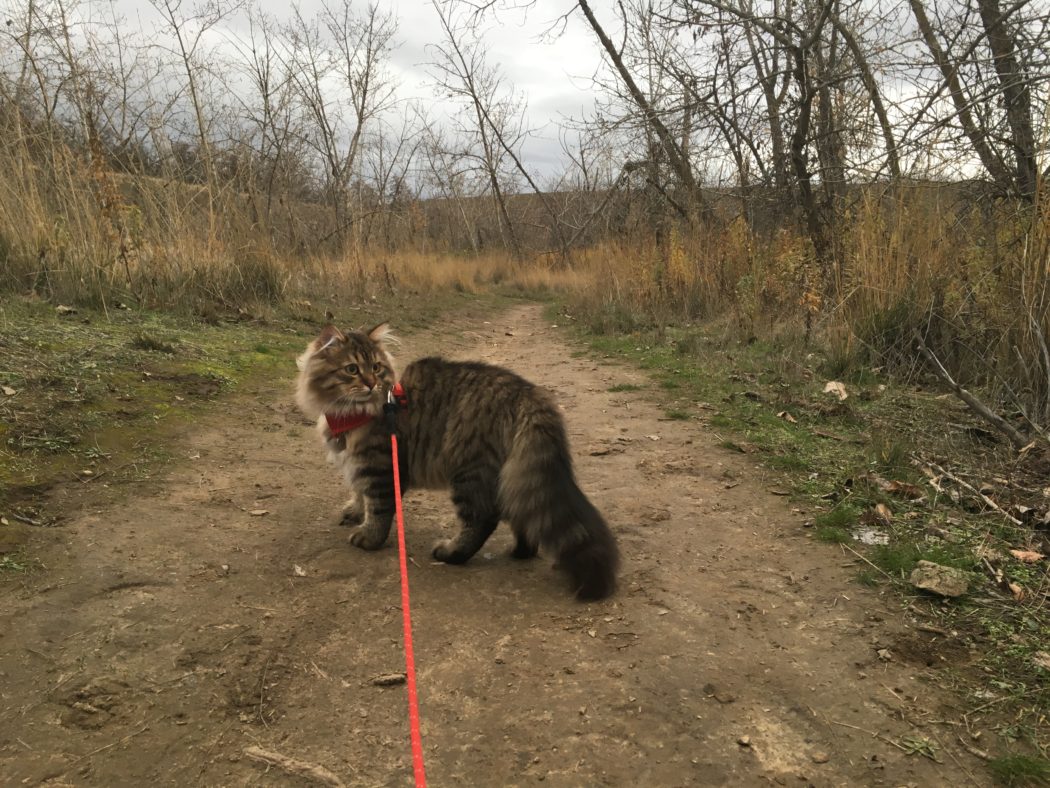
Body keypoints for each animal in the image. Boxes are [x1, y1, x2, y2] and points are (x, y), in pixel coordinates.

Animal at [296, 323, 617, 600]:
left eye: (375, 367)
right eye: (352, 370)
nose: (372, 384)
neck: (348, 413)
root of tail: (526, 391)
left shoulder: (382, 467)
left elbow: (378, 509)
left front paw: (369, 537)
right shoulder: (359, 464)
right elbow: (358, 491)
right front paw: (354, 510)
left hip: (469, 471)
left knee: (483, 518)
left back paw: (452, 553)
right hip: (509, 474)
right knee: (521, 508)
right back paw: (522, 551)